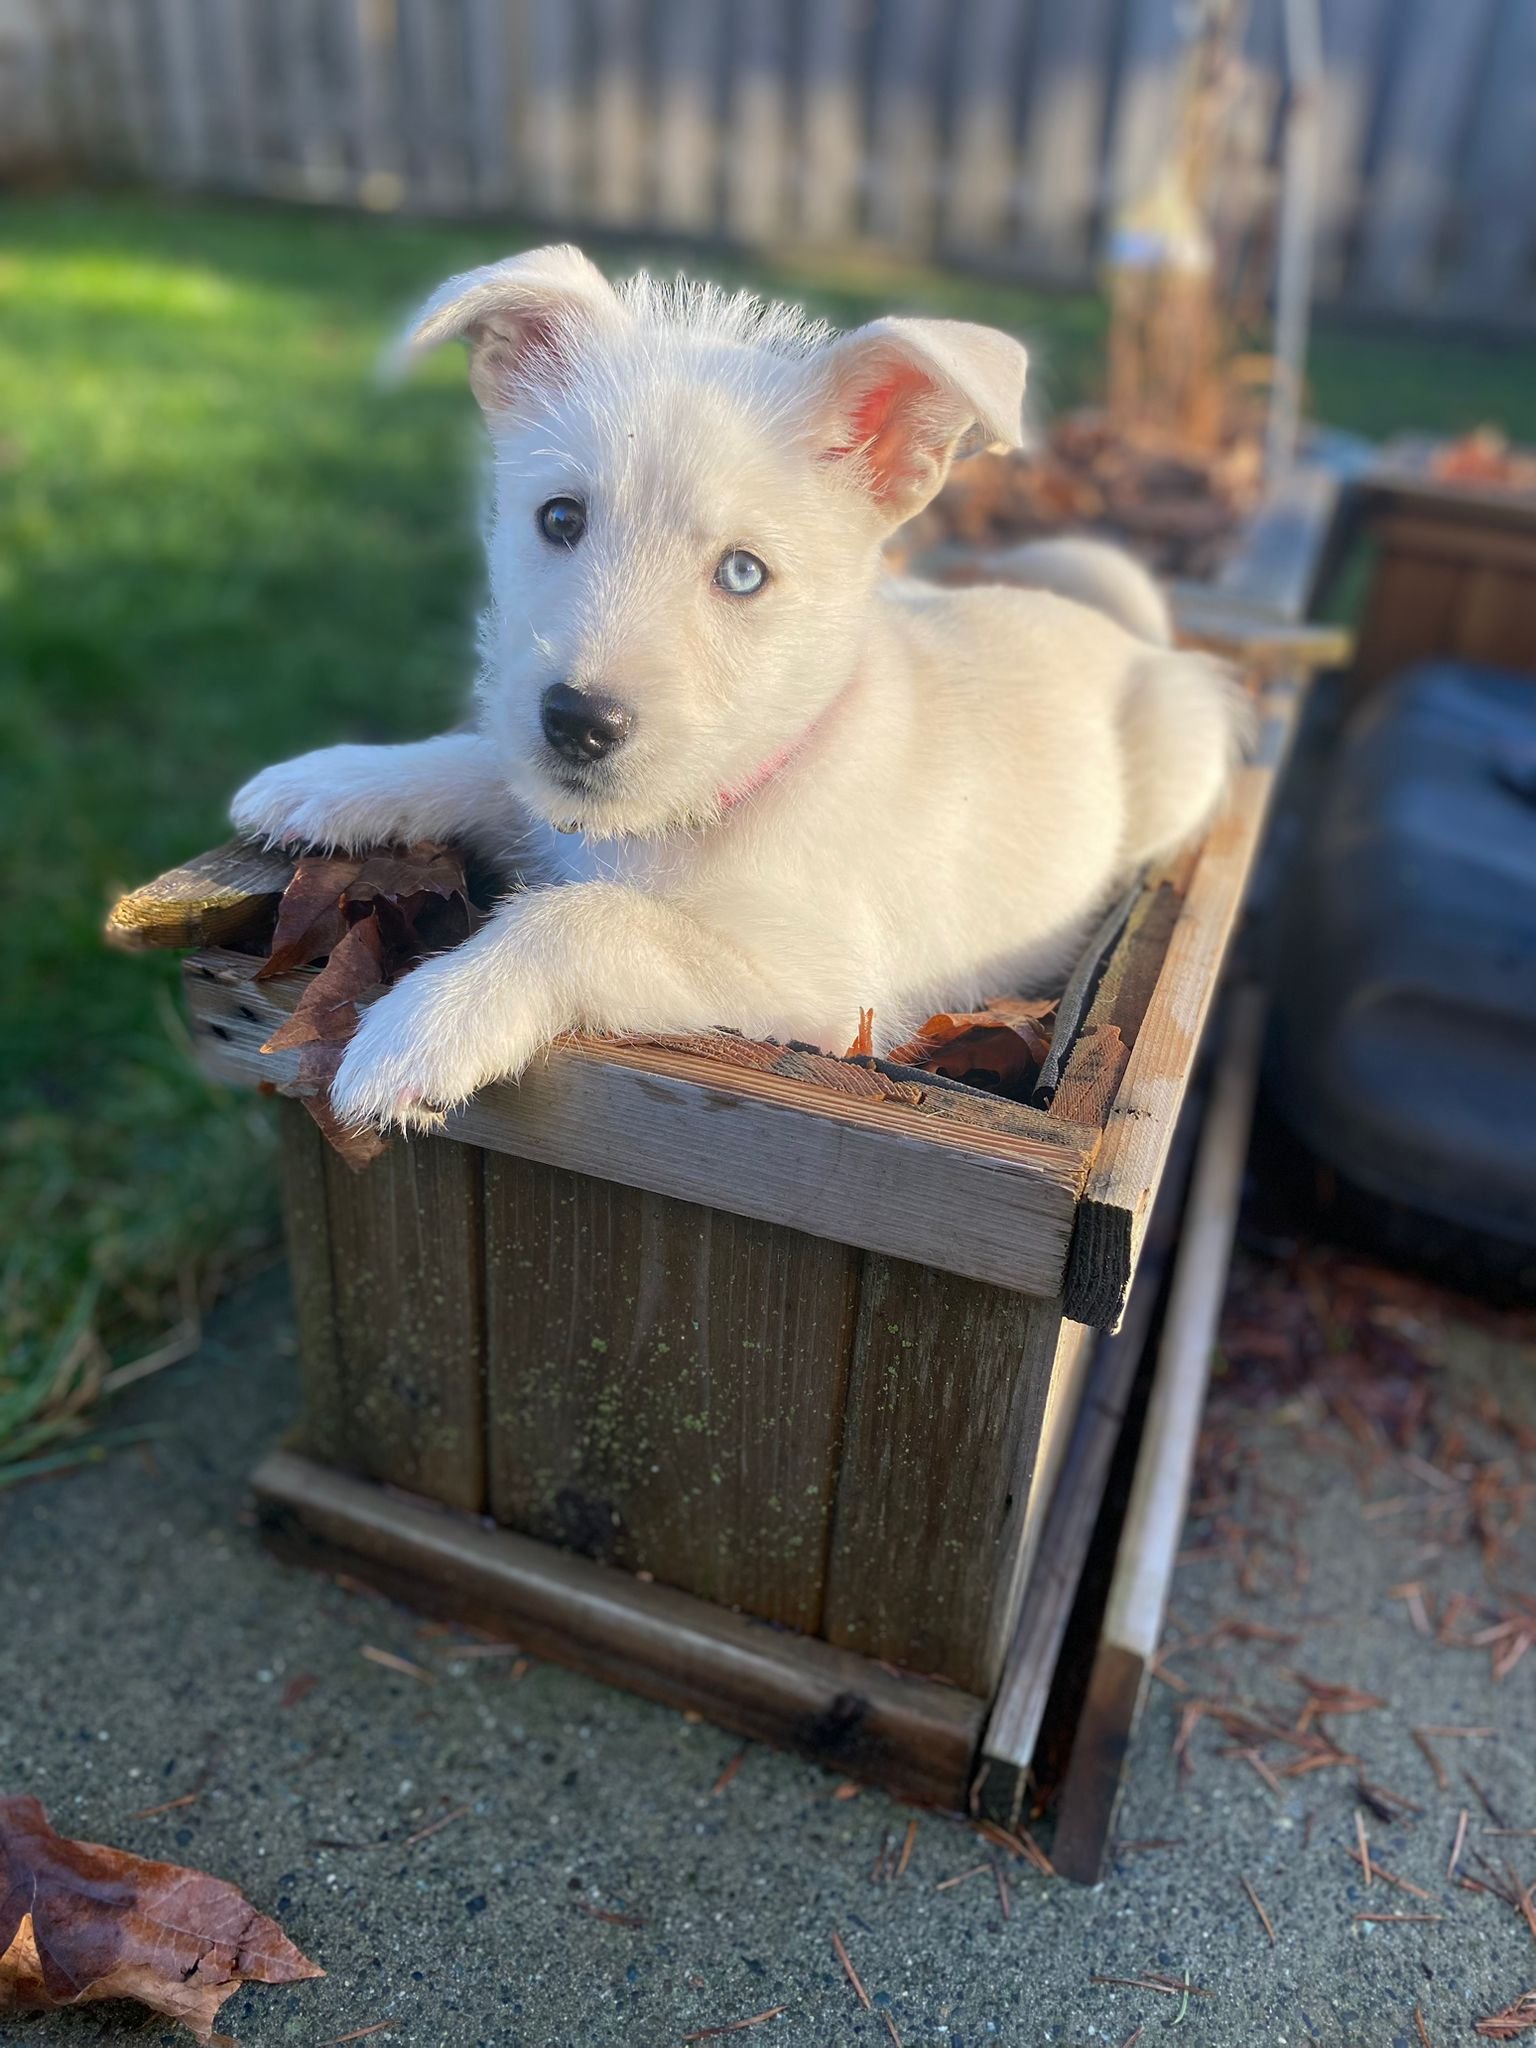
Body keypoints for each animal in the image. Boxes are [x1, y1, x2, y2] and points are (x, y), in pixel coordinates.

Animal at [231, 245, 1242, 1132]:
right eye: (559, 518)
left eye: (744, 574)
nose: (579, 724)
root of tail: (1132, 635)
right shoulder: (548, 799)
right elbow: (480, 763)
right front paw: (330, 780)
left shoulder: (820, 996)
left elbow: (581, 917)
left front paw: (424, 1023)